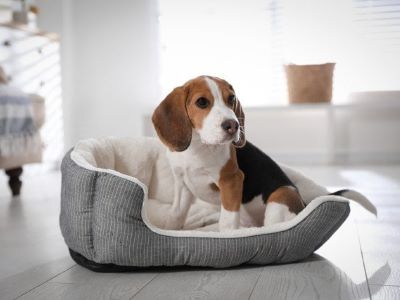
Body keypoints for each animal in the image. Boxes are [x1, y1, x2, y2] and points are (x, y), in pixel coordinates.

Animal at [152, 75, 304, 230]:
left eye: (231, 98)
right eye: (201, 102)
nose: (233, 125)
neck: (197, 146)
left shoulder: (231, 180)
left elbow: (227, 223)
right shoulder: (182, 183)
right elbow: (175, 214)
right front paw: (169, 229)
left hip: (281, 195)